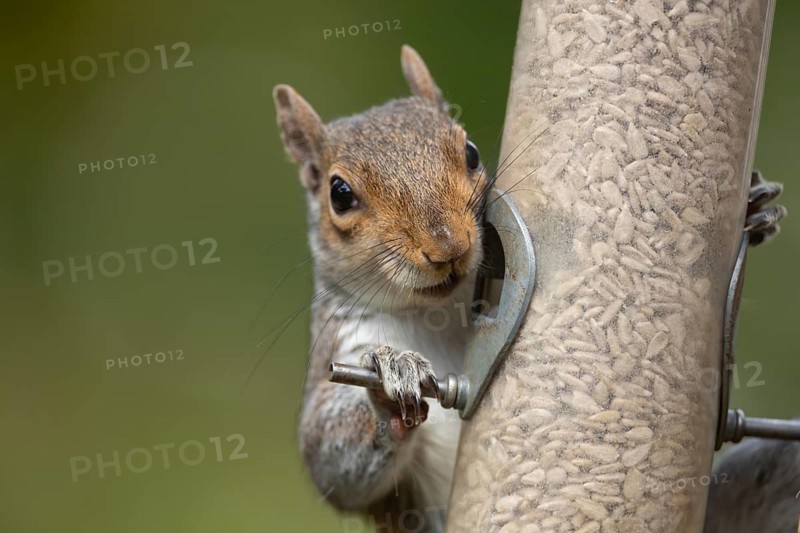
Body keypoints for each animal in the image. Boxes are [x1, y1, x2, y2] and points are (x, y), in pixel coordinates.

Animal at [273, 45, 488, 530]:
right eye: (339, 193)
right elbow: (329, 459)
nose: (448, 247)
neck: (436, 313)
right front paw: (391, 382)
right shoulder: (344, 342)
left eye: (471, 153)